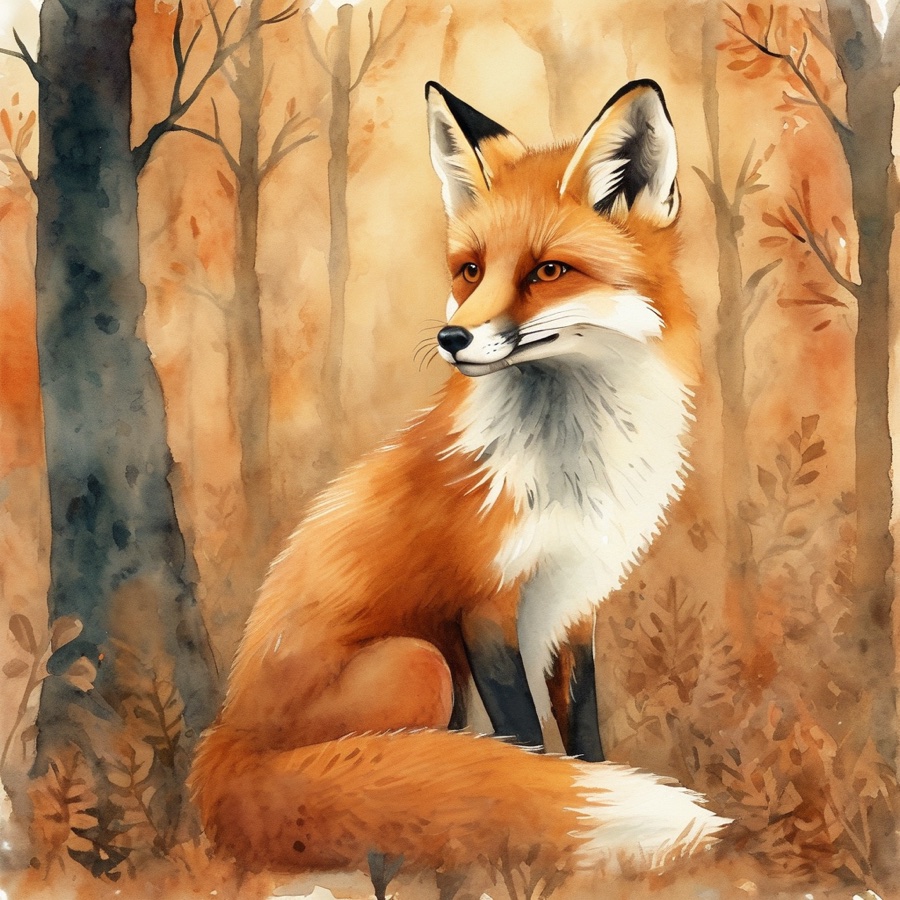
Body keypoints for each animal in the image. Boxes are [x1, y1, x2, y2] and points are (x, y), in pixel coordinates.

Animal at [189, 79, 726, 888]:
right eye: (470, 269)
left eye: (547, 271)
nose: (453, 338)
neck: (572, 469)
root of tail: (224, 741)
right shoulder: (485, 606)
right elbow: (525, 741)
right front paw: (536, 838)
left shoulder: (575, 604)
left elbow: (583, 734)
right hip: (422, 663)